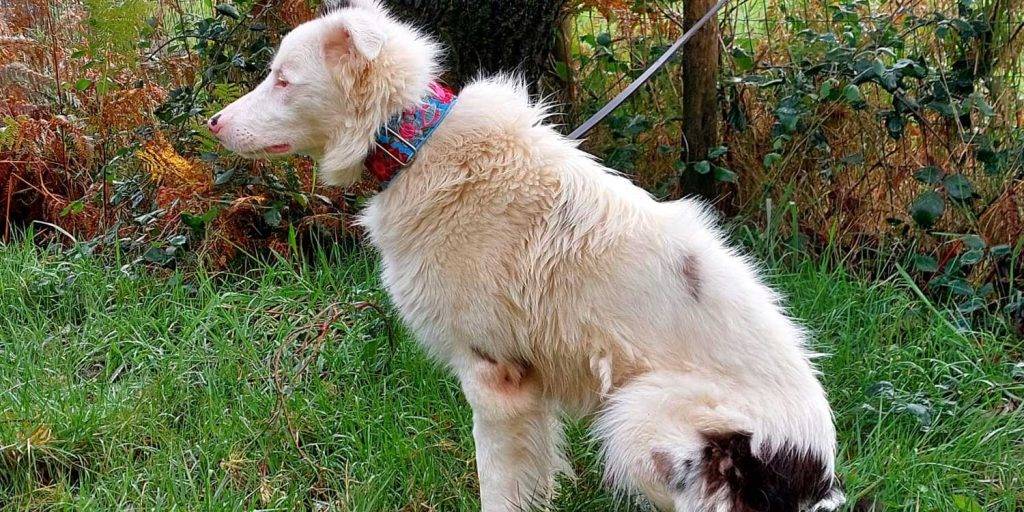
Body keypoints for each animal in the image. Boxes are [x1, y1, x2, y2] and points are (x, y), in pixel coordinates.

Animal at [209, 2, 847, 509]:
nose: (213, 124)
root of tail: (816, 475)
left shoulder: (495, 380)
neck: (414, 145)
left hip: (639, 418)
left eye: (283, 80)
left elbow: (497, 485)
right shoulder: (528, 392)